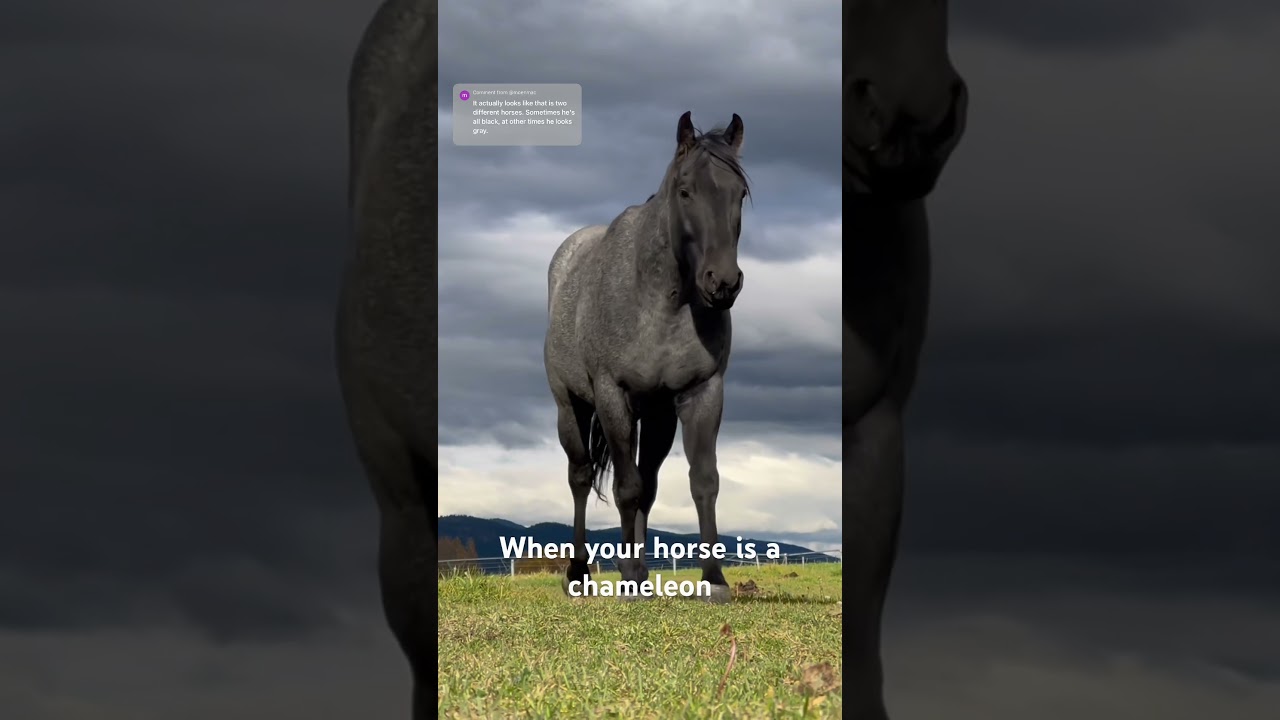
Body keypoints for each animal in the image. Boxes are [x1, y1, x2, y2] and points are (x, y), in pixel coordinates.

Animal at [543, 111, 750, 604]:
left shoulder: (701, 394)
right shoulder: (611, 395)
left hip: (655, 415)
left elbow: (702, 480)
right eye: (685, 190)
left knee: (649, 484)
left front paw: (713, 580)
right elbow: (626, 487)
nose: (723, 283)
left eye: (740, 193)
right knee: (581, 478)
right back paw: (579, 573)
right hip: (571, 408)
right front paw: (631, 578)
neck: (660, 301)